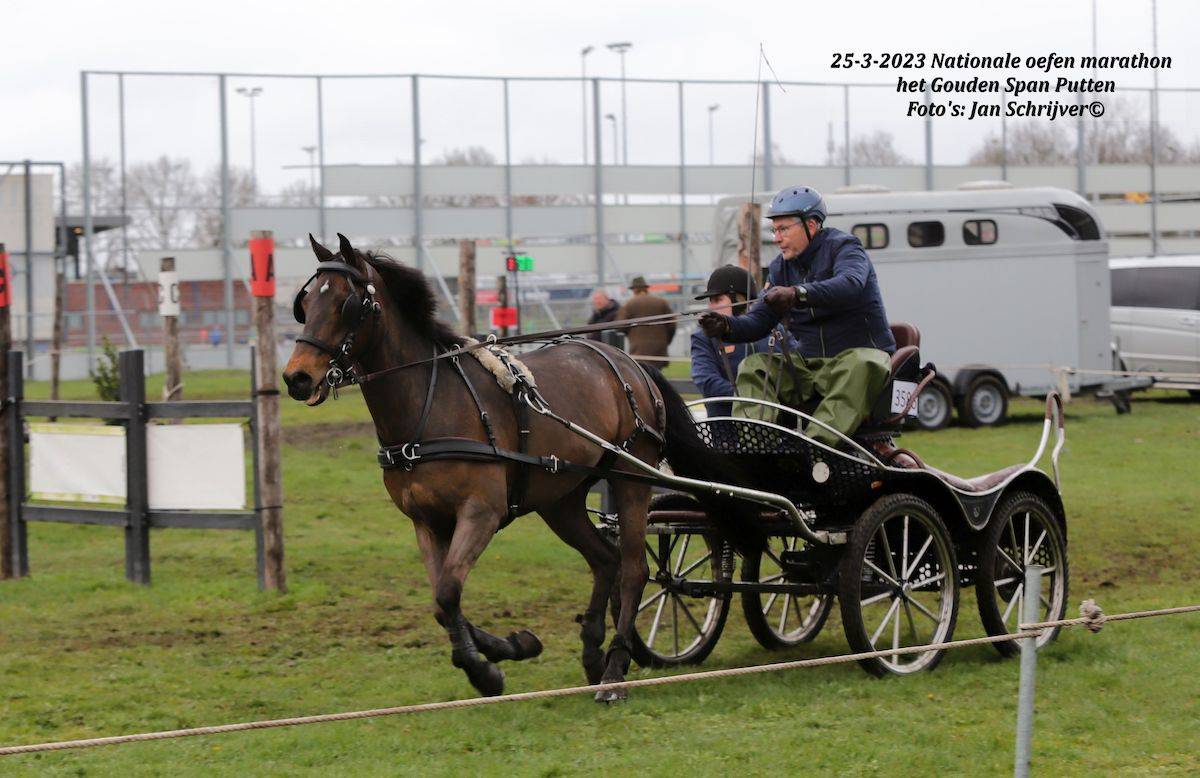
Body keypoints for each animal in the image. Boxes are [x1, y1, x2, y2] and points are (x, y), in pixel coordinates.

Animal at [283, 234, 756, 702]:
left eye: (346, 303)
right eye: (305, 303)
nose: (296, 378)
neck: (430, 405)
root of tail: (630, 365)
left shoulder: (481, 512)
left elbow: (449, 592)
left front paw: (485, 670)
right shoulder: (426, 521)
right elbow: (441, 602)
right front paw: (510, 646)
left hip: (630, 480)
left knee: (634, 568)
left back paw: (614, 670)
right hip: (560, 498)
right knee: (605, 560)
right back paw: (592, 654)